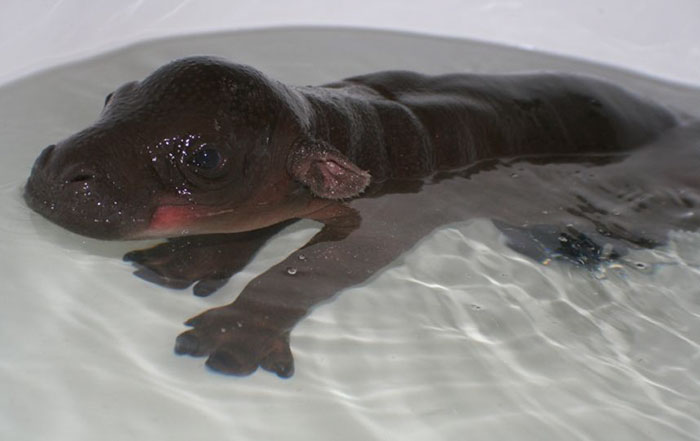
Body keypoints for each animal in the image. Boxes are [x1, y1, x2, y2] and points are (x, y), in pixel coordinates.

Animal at [24, 56, 700, 377]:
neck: (344, 126)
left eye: (206, 157)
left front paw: (232, 334)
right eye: (113, 96)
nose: (60, 175)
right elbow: (257, 224)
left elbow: (310, 271)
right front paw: (187, 260)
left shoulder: (387, 220)